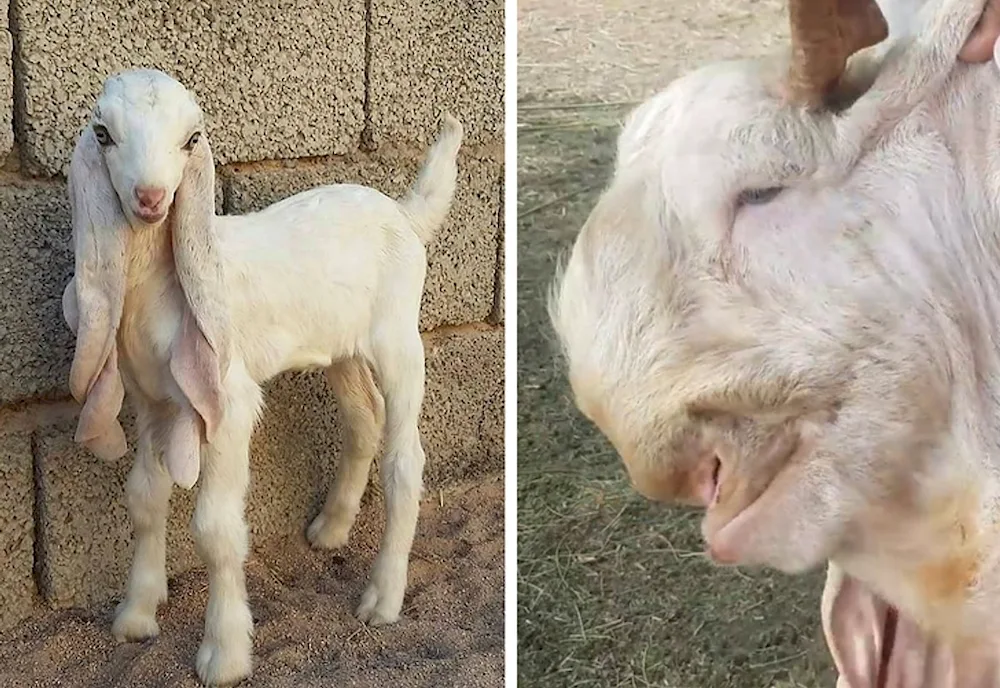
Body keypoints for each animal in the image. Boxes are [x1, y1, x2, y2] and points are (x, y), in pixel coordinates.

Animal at [64, 67, 462, 684]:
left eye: (192, 139)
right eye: (103, 134)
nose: (151, 199)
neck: (158, 283)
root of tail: (404, 213)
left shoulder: (225, 400)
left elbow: (215, 530)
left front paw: (224, 654)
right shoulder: (152, 400)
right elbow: (145, 499)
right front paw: (135, 616)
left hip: (399, 336)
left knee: (405, 459)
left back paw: (383, 598)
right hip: (340, 348)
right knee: (363, 419)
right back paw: (331, 530)